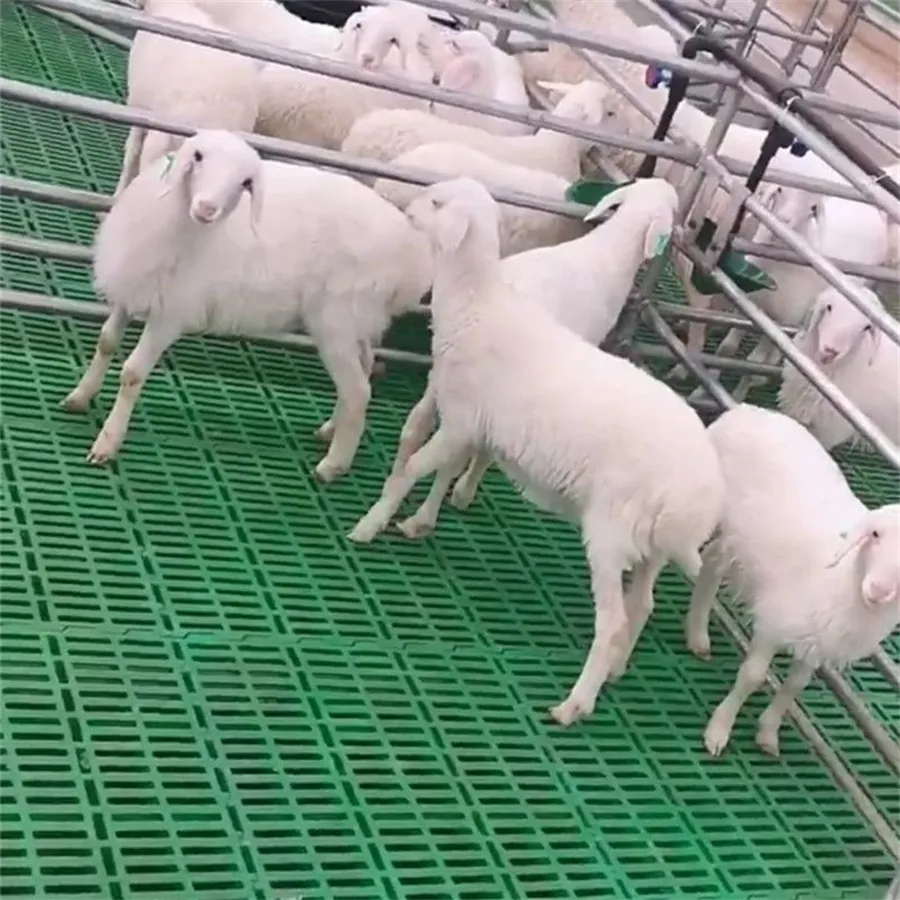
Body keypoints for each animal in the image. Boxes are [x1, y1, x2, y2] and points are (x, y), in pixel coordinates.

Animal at [62, 130, 431, 481]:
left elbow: (132, 374)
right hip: (357, 320)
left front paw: (107, 443)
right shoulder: (131, 289)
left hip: (336, 320)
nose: (206, 209)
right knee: (364, 368)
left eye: (245, 183)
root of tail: (412, 256)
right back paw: (329, 429)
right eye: (198, 156)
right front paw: (80, 396)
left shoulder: (170, 314)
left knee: (357, 391)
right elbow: (107, 341)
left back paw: (332, 465)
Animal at [685, 403, 900, 757]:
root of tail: (746, 410)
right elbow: (753, 675)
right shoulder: (774, 621)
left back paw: (697, 634)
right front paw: (719, 730)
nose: (879, 590)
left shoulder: (817, 644)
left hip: (737, 539)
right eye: (875, 535)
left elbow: (795, 685)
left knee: (713, 563)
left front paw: (768, 732)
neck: (842, 583)